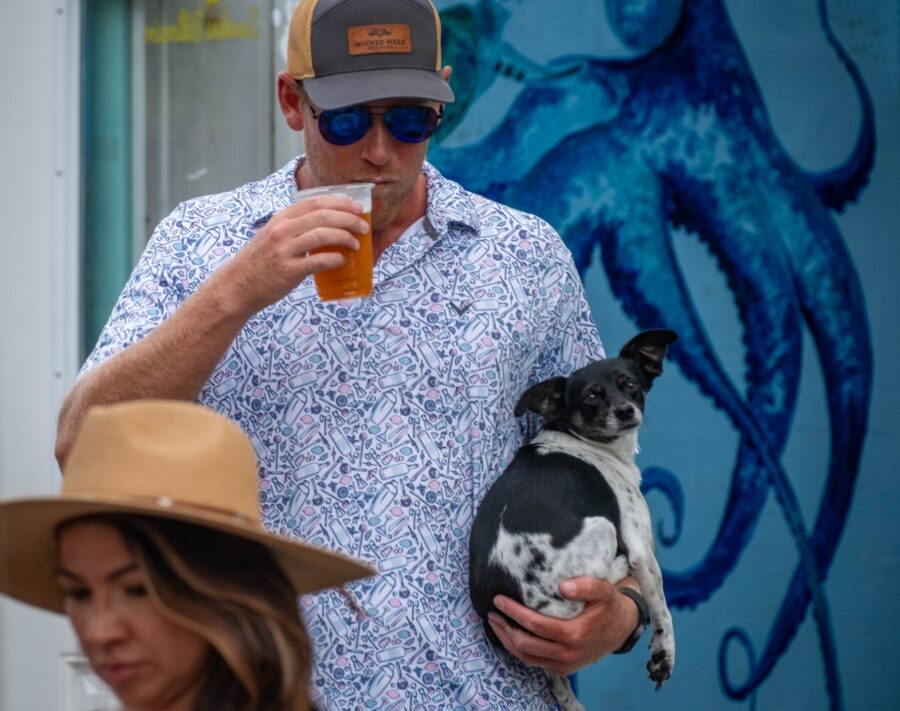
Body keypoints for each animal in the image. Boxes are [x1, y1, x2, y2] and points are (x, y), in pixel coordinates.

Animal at [472, 330, 676, 708]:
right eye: (591, 396)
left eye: (630, 384)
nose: (625, 410)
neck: (584, 439)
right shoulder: (641, 546)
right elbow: (662, 611)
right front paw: (663, 656)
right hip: (603, 528)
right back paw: (618, 566)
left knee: (554, 675)